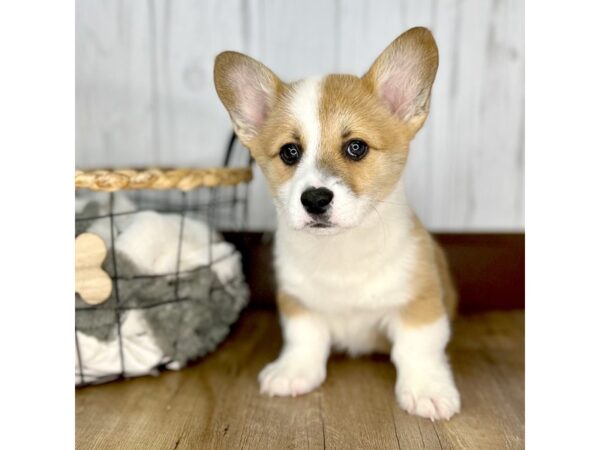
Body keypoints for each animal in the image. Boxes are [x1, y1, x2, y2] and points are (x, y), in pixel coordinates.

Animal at [214, 26, 460, 420]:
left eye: (356, 147)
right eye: (290, 152)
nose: (314, 199)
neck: (341, 250)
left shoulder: (419, 301)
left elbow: (418, 347)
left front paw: (427, 390)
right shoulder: (299, 301)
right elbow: (303, 339)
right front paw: (293, 372)